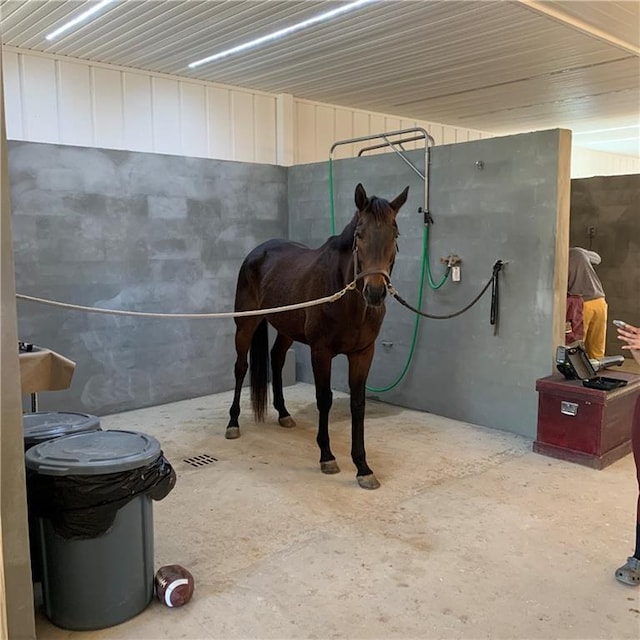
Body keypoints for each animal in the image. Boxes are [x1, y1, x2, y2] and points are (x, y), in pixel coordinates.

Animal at [226, 182, 410, 488]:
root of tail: (257, 252)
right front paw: (327, 457)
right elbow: (324, 399)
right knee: (241, 367)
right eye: (359, 234)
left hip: (286, 328)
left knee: (276, 359)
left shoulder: (363, 353)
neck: (347, 300)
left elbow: (358, 405)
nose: (374, 292)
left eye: (394, 234)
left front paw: (363, 467)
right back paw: (233, 423)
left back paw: (284, 414)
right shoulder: (320, 352)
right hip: (245, 324)